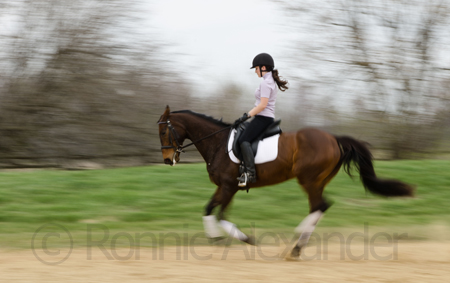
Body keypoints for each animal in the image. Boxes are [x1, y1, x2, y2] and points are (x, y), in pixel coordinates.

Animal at [156, 106, 414, 260]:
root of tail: (332, 138)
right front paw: (218, 239)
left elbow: (218, 214)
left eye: (163, 133)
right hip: (317, 181)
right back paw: (296, 246)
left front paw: (243, 239)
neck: (218, 143)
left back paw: (295, 247)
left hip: (309, 180)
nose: (168, 160)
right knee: (320, 207)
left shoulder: (228, 186)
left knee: (319, 206)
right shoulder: (227, 188)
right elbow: (212, 211)